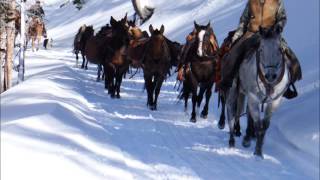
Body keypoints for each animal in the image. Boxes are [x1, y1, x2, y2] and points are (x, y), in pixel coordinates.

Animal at [226, 30, 292, 158]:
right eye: (261, 49)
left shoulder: (274, 102)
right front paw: (257, 152)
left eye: (279, 49)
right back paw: (232, 142)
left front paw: (259, 151)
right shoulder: (253, 98)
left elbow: (264, 125)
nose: (270, 76)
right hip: (233, 93)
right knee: (231, 113)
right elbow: (257, 125)